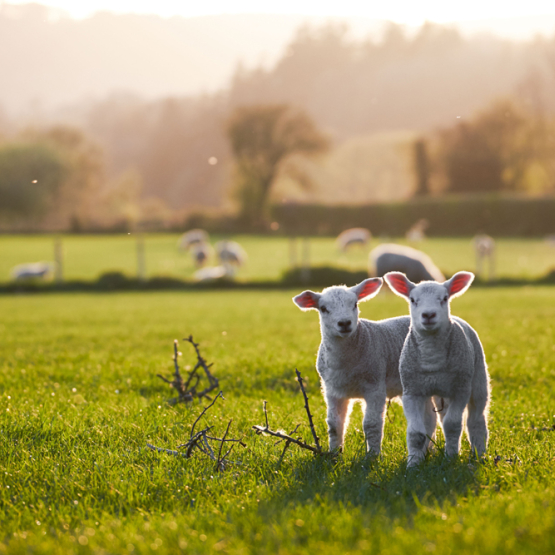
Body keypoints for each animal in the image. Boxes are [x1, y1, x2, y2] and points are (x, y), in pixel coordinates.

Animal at [294, 278, 410, 456]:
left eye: (355, 304)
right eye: (323, 308)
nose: (344, 323)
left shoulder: (375, 385)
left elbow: (371, 424)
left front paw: (373, 456)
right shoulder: (332, 390)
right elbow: (334, 425)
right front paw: (334, 454)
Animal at [386, 272, 490, 466]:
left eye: (445, 298)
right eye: (413, 300)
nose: (428, 314)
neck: (432, 359)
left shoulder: (461, 389)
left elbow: (452, 425)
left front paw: (450, 459)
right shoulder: (412, 392)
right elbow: (416, 432)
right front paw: (413, 464)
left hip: (478, 379)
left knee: (476, 420)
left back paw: (479, 455)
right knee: (432, 420)